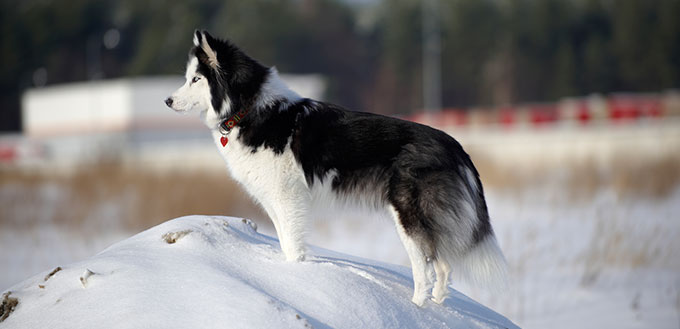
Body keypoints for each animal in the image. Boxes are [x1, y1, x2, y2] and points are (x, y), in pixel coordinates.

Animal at [165, 30, 504, 304]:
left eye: (195, 79)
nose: (167, 101)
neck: (248, 109)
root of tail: (454, 145)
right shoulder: (274, 201)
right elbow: (285, 242)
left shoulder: (288, 200)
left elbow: (293, 247)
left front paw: (294, 276)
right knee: (442, 266)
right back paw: (435, 306)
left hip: (407, 216)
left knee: (425, 269)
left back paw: (417, 305)